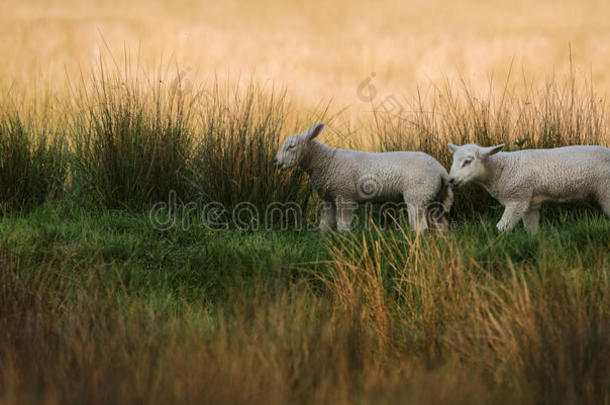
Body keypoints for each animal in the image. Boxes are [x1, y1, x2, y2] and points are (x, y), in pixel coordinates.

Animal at [272, 121, 452, 232]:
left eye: (291, 146)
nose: (275, 162)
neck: (326, 161)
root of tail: (441, 170)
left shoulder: (344, 196)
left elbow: (343, 226)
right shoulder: (329, 200)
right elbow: (324, 227)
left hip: (418, 195)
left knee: (420, 227)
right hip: (434, 199)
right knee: (441, 226)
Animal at [444, 142, 608, 232]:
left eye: (468, 161)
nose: (451, 180)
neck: (503, 167)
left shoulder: (517, 199)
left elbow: (501, 228)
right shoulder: (529, 202)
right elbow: (531, 229)